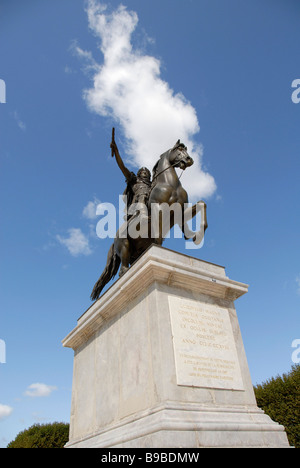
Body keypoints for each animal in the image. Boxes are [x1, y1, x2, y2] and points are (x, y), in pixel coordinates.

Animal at [91, 139, 206, 300]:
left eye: (186, 149)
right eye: (178, 150)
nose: (189, 160)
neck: (170, 184)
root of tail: (114, 241)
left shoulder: (180, 211)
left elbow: (202, 204)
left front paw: (195, 235)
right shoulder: (159, 209)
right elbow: (158, 234)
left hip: (136, 253)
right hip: (124, 246)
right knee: (123, 270)